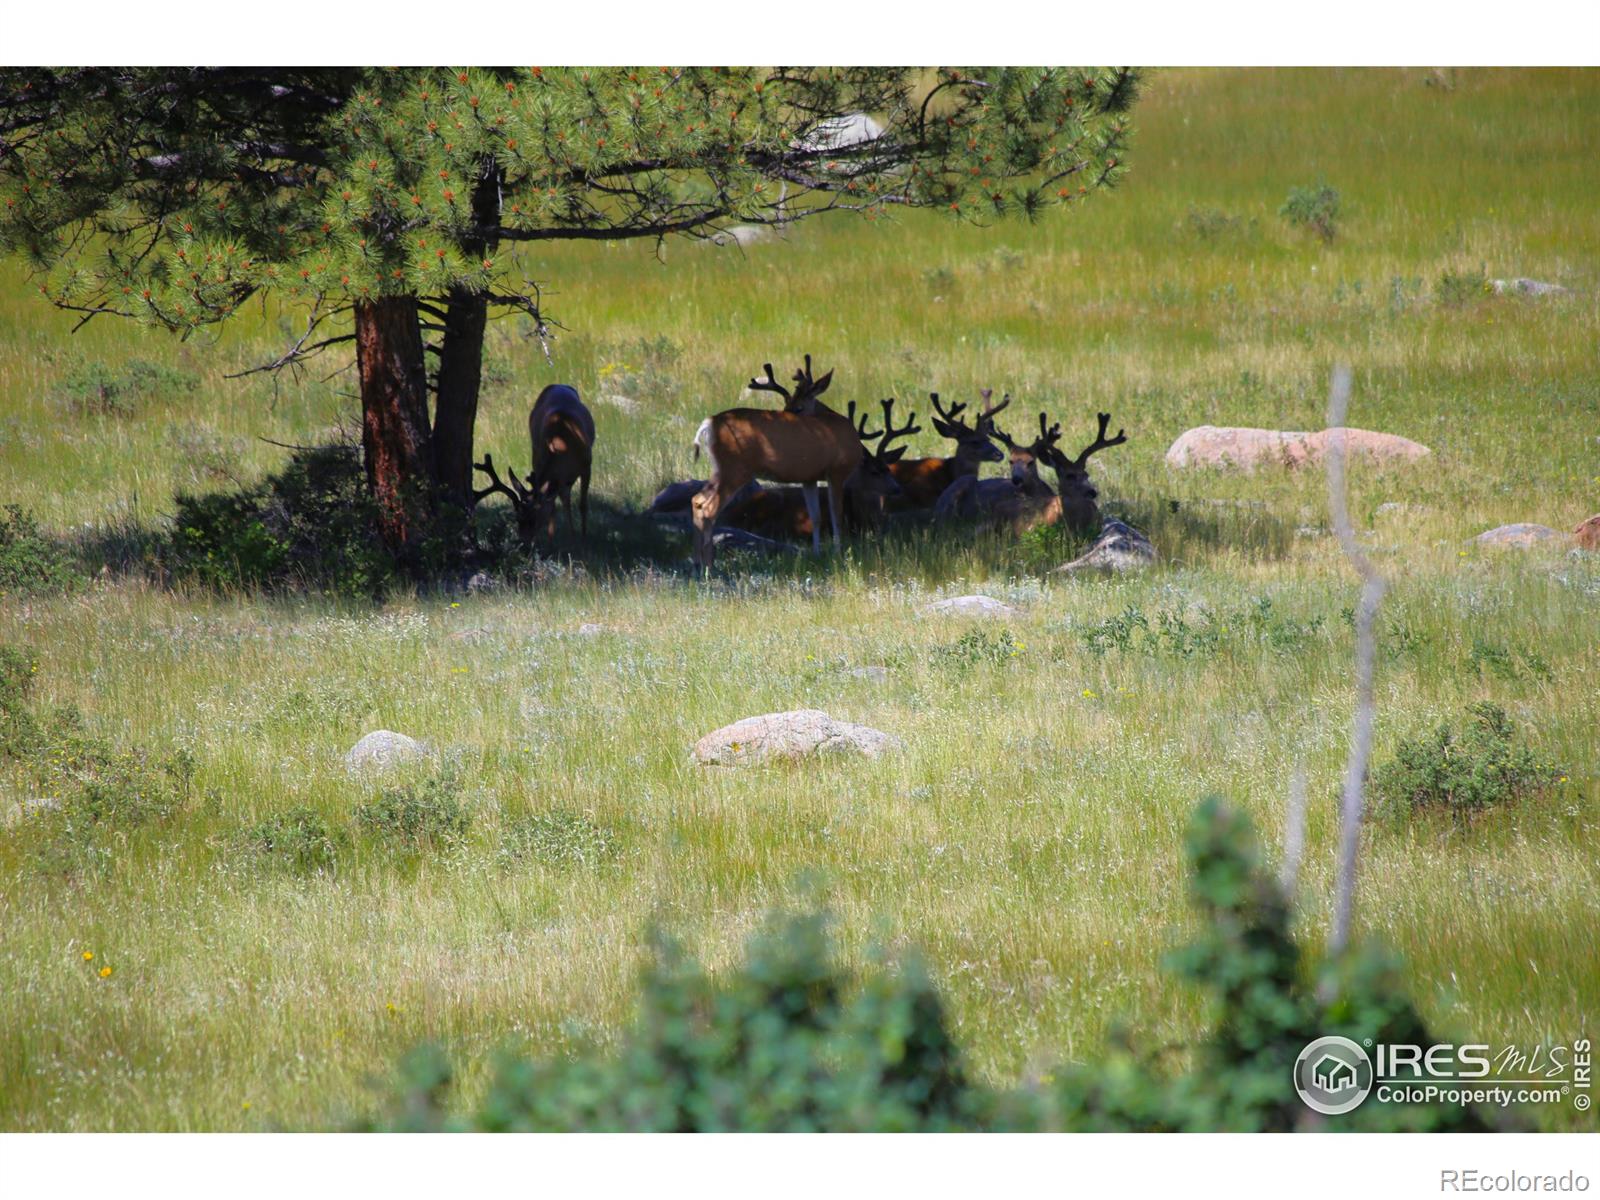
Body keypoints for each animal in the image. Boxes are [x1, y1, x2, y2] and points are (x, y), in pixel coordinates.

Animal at [476, 385, 601, 544]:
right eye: (518, 518)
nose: (523, 541)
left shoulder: (586, 466)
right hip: (537, 455)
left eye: (533, 519)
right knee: (562, 498)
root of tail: (556, 385)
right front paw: (555, 538)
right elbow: (556, 505)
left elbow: (582, 505)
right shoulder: (549, 470)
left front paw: (583, 537)